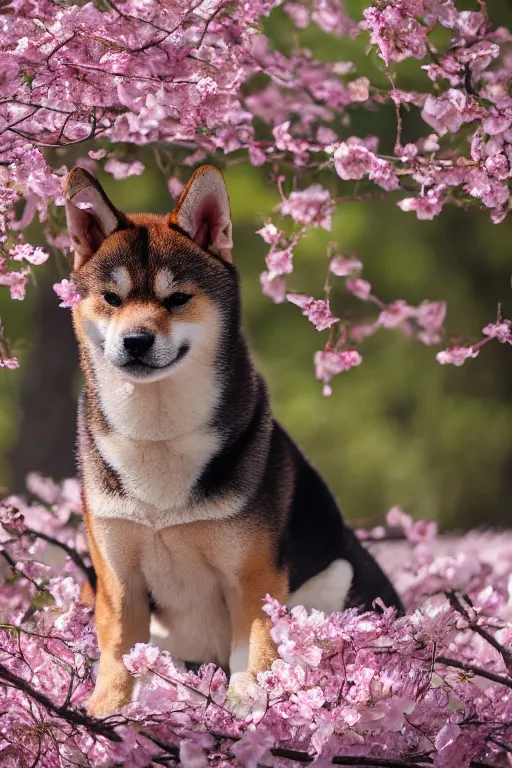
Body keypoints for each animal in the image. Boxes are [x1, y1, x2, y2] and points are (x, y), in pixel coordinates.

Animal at [64, 165, 402, 716]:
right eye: (112, 299)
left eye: (177, 298)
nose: (135, 341)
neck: (159, 432)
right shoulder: (117, 576)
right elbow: (118, 652)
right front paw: (103, 714)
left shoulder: (254, 574)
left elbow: (257, 650)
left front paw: (249, 712)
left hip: (339, 581)